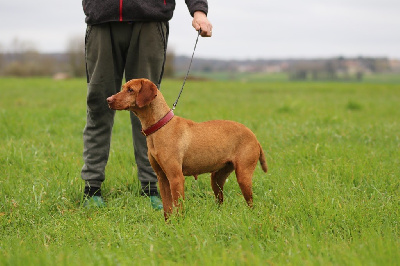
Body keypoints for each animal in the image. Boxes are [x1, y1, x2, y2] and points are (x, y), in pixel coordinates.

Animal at [108, 78, 268, 219]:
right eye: (123, 87)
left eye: (130, 90)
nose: (108, 100)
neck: (160, 126)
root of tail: (254, 137)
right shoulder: (162, 178)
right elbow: (167, 208)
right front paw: (168, 226)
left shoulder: (176, 178)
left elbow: (178, 207)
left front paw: (179, 224)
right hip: (217, 178)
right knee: (220, 201)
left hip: (243, 176)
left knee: (251, 204)